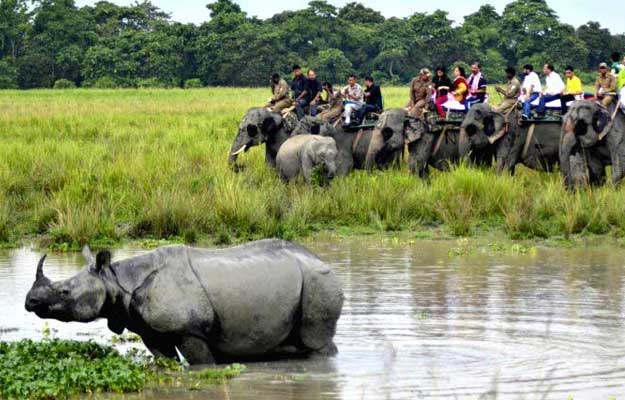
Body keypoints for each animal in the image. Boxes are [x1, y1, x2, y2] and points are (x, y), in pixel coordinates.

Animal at [25, 241, 342, 366]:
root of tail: (320, 260)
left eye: (65, 292)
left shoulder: (190, 330)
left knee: (316, 341)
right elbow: (166, 359)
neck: (116, 279)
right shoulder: (150, 330)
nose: (30, 301)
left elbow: (202, 363)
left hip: (317, 281)